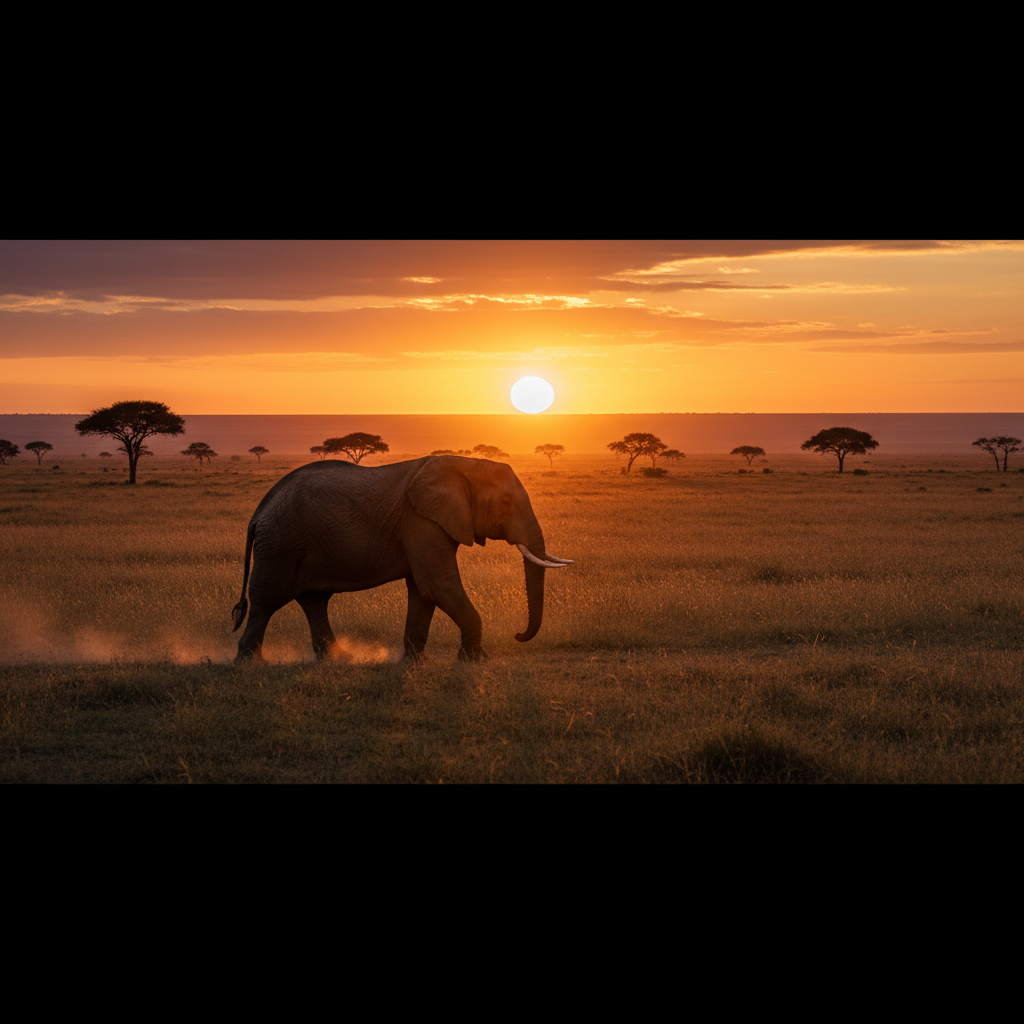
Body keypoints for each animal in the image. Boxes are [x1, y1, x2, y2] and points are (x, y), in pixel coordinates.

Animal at [230, 455, 572, 662]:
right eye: (505, 502)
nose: (518, 635)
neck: (464, 464)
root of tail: (260, 510)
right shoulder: (421, 522)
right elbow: (438, 584)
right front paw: (476, 661)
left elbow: (423, 591)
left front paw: (414, 662)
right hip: (280, 543)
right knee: (265, 601)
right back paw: (251, 663)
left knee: (314, 601)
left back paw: (338, 660)